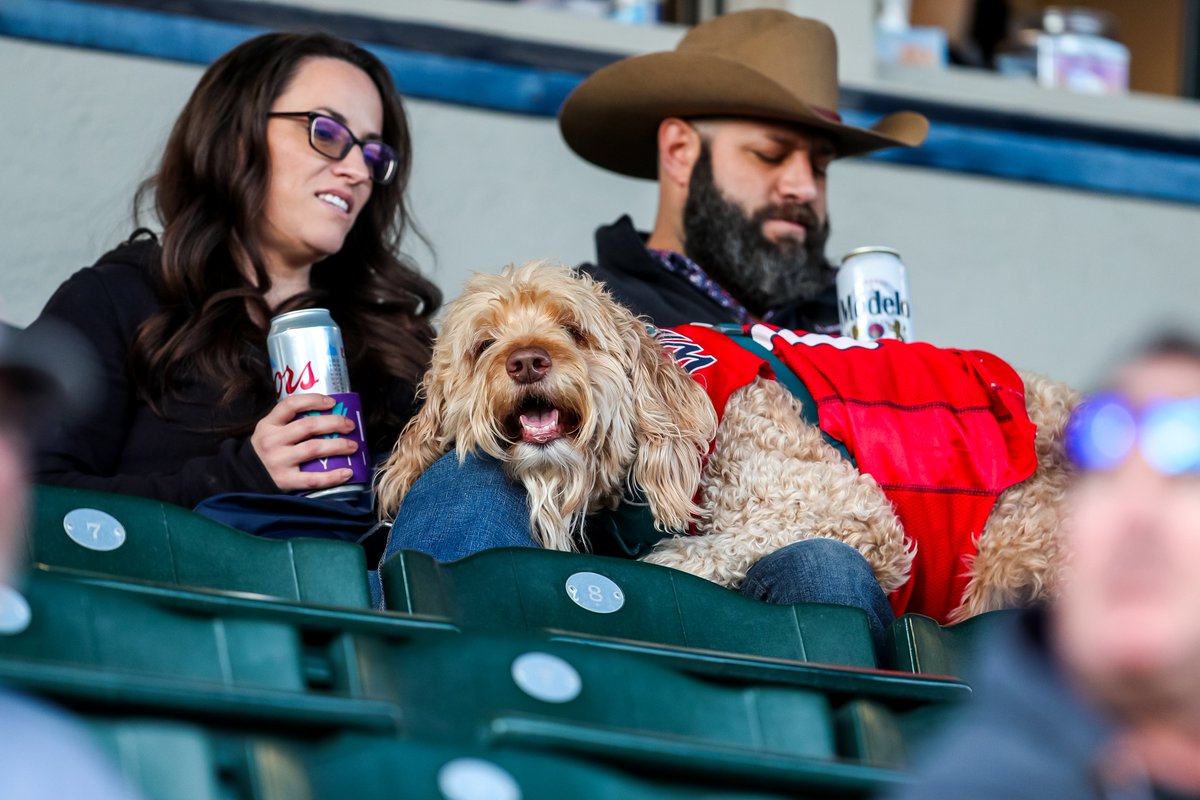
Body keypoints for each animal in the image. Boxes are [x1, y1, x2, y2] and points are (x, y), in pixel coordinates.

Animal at [379, 260, 1084, 623]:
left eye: (573, 329)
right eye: (484, 344)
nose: (526, 361)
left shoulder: (847, 506)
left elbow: (691, 555)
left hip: (1011, 550)